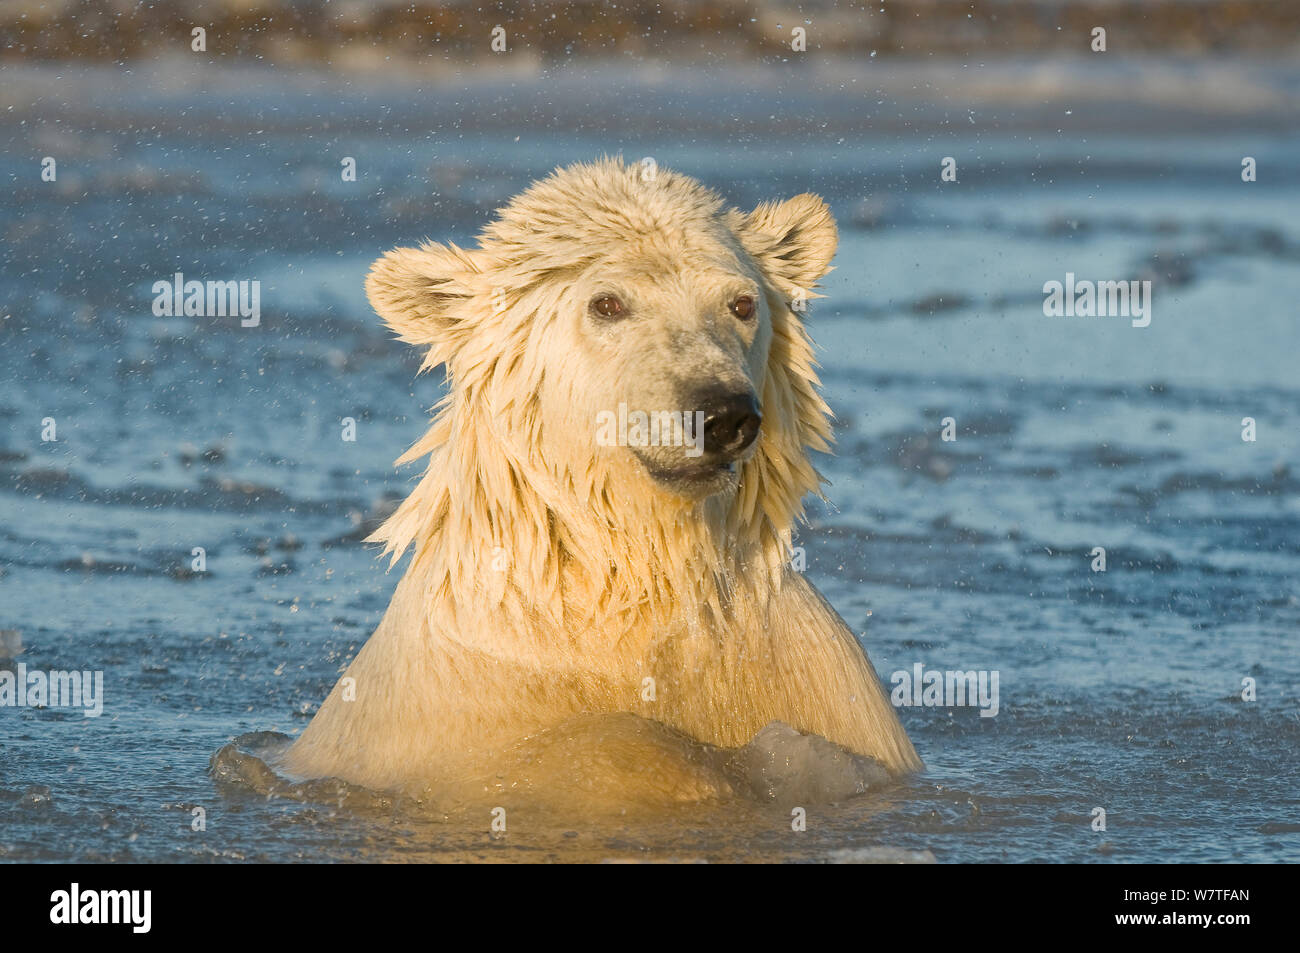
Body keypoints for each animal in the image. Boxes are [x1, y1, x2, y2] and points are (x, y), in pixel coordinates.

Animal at [279, 156, 920, 800]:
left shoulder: (807, 683)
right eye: (608, 304)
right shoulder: (474, 705)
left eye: (741, 303)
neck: (631, 589)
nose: (721, 414)